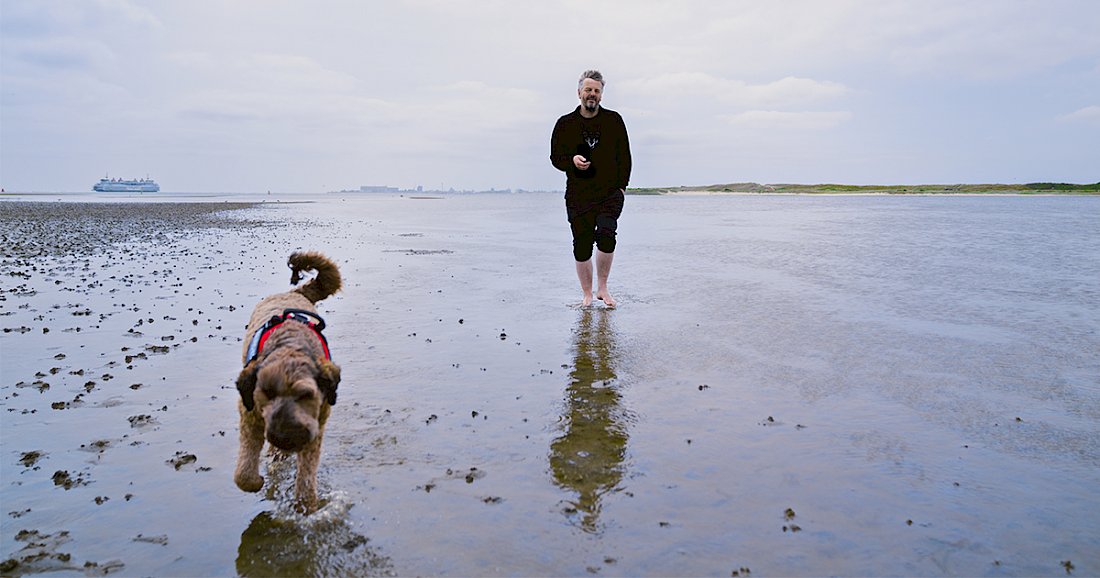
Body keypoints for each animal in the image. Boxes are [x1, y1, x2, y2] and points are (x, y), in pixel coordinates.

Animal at [236, 249, 343, 510]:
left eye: (306, 394)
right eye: (266, 393)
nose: (286, 439)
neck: (290, 345)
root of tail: (294, 293)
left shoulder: (318, 420)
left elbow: (307, 471)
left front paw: (306, 505)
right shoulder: (249, 414)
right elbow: (243, 472)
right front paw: (254, 481)